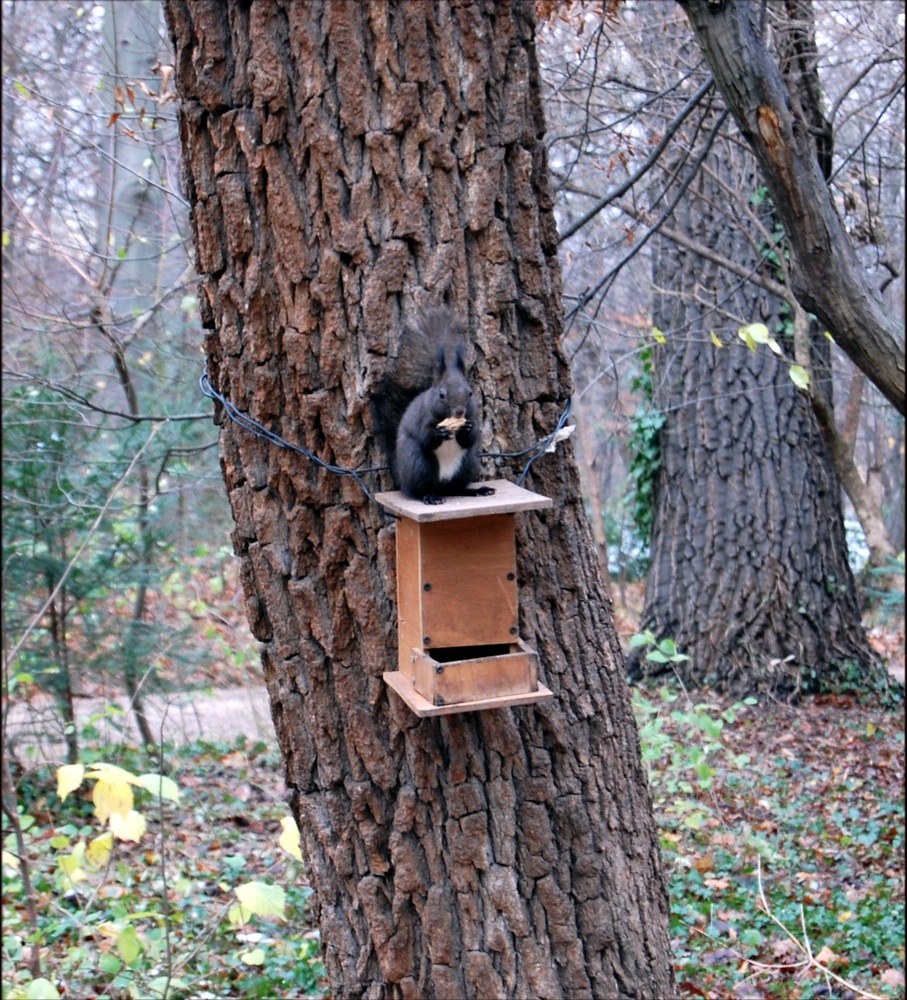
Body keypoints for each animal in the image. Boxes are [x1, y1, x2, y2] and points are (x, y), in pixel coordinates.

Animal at [372, 308, 496, 504]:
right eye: (441, 394)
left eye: (470, 393)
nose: (459, 411)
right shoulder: (423, 417)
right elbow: (425, 437)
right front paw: (439, 432)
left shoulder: (473, 416)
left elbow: (471, 438)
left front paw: (468, 429)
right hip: (419, 465)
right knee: (418, 490)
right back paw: (430, 497)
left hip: (466, 465)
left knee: (456, 489)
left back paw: (478, 490)